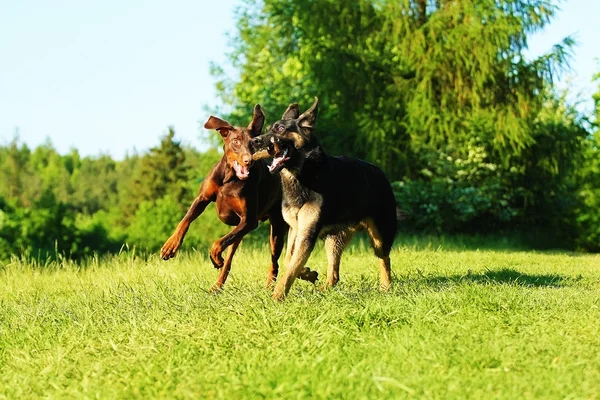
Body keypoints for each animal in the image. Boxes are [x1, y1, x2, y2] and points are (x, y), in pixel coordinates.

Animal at [159, 104, 318, 292]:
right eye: (235, 141)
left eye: (253, 143)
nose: (248, 161)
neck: (229, 178)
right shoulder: (202, 199)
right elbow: (186, 220)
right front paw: (170, 246)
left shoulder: (248, 220)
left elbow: (217, 244)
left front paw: (215, 257)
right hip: (241, 231)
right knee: (230, 259)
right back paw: (217, 286)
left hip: (276, 229)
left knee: (276, 262)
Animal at [250, 97, 398, 300]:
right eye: (267, 129)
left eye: (279, 129)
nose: (254, 141)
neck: (302, 175)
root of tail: (381, 174)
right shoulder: (296, 229)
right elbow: (290, 260)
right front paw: (307, 273)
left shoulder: (307, 232)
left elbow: (290, 269)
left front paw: (277, 296)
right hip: (334, 240)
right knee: (334, 274)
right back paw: (324, 289)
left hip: (380, 236)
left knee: (384, 258)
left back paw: (386, 286)